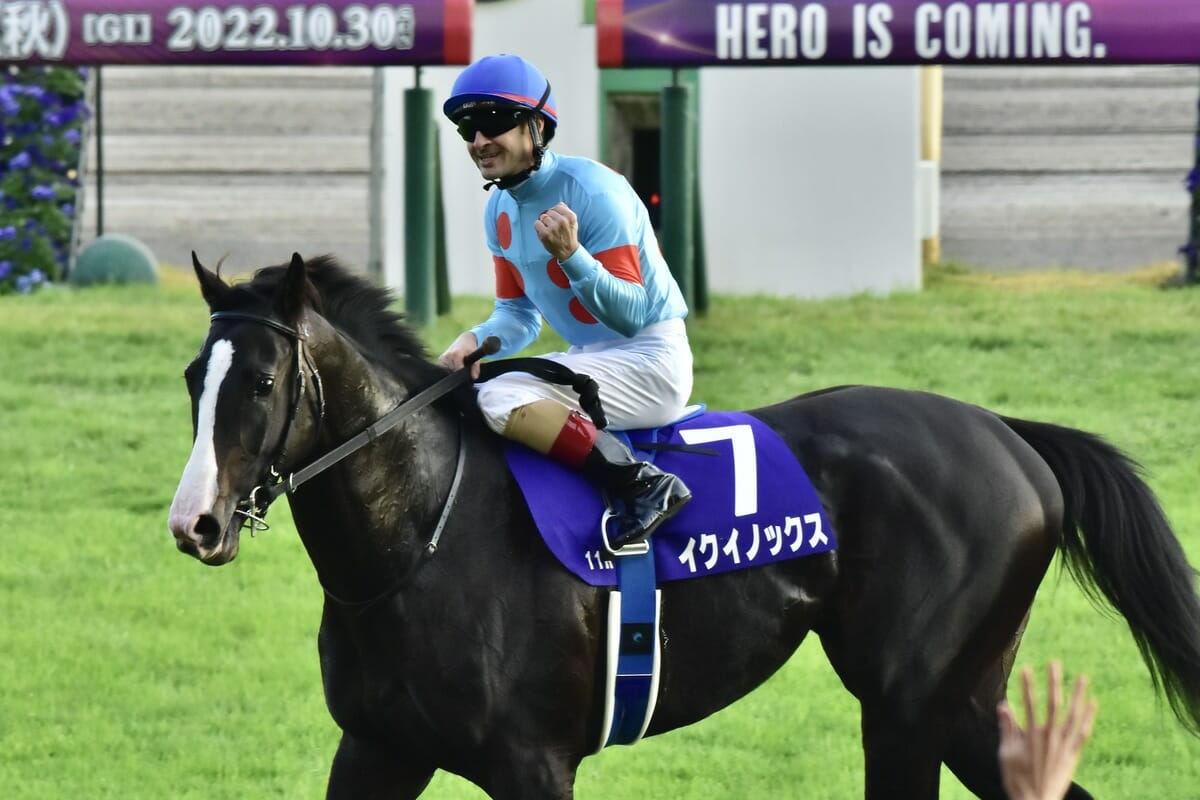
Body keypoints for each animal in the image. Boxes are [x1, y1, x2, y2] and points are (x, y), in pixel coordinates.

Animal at [166, 253, 1200, 796]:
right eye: (192, 379)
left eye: (261, 381)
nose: (195, 523)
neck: (418, 539)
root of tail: (1010, 432)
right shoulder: (378, 747)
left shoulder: (531, 763)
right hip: (966, 704)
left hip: (909, 706)